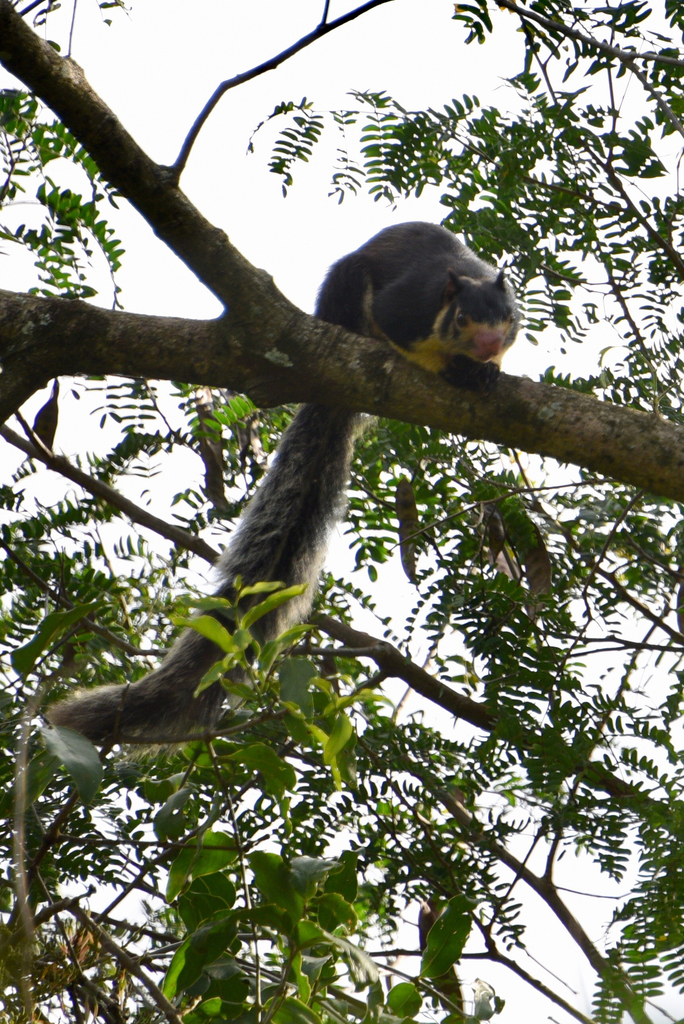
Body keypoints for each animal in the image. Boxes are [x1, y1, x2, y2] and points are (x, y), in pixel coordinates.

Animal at [47, 222, 519, 744]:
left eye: (506, 317)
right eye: (461, 318)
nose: (487, 345)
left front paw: (490, 370)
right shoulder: (407, 308)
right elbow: (401, 333)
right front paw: (453, 367)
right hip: (344, 294)